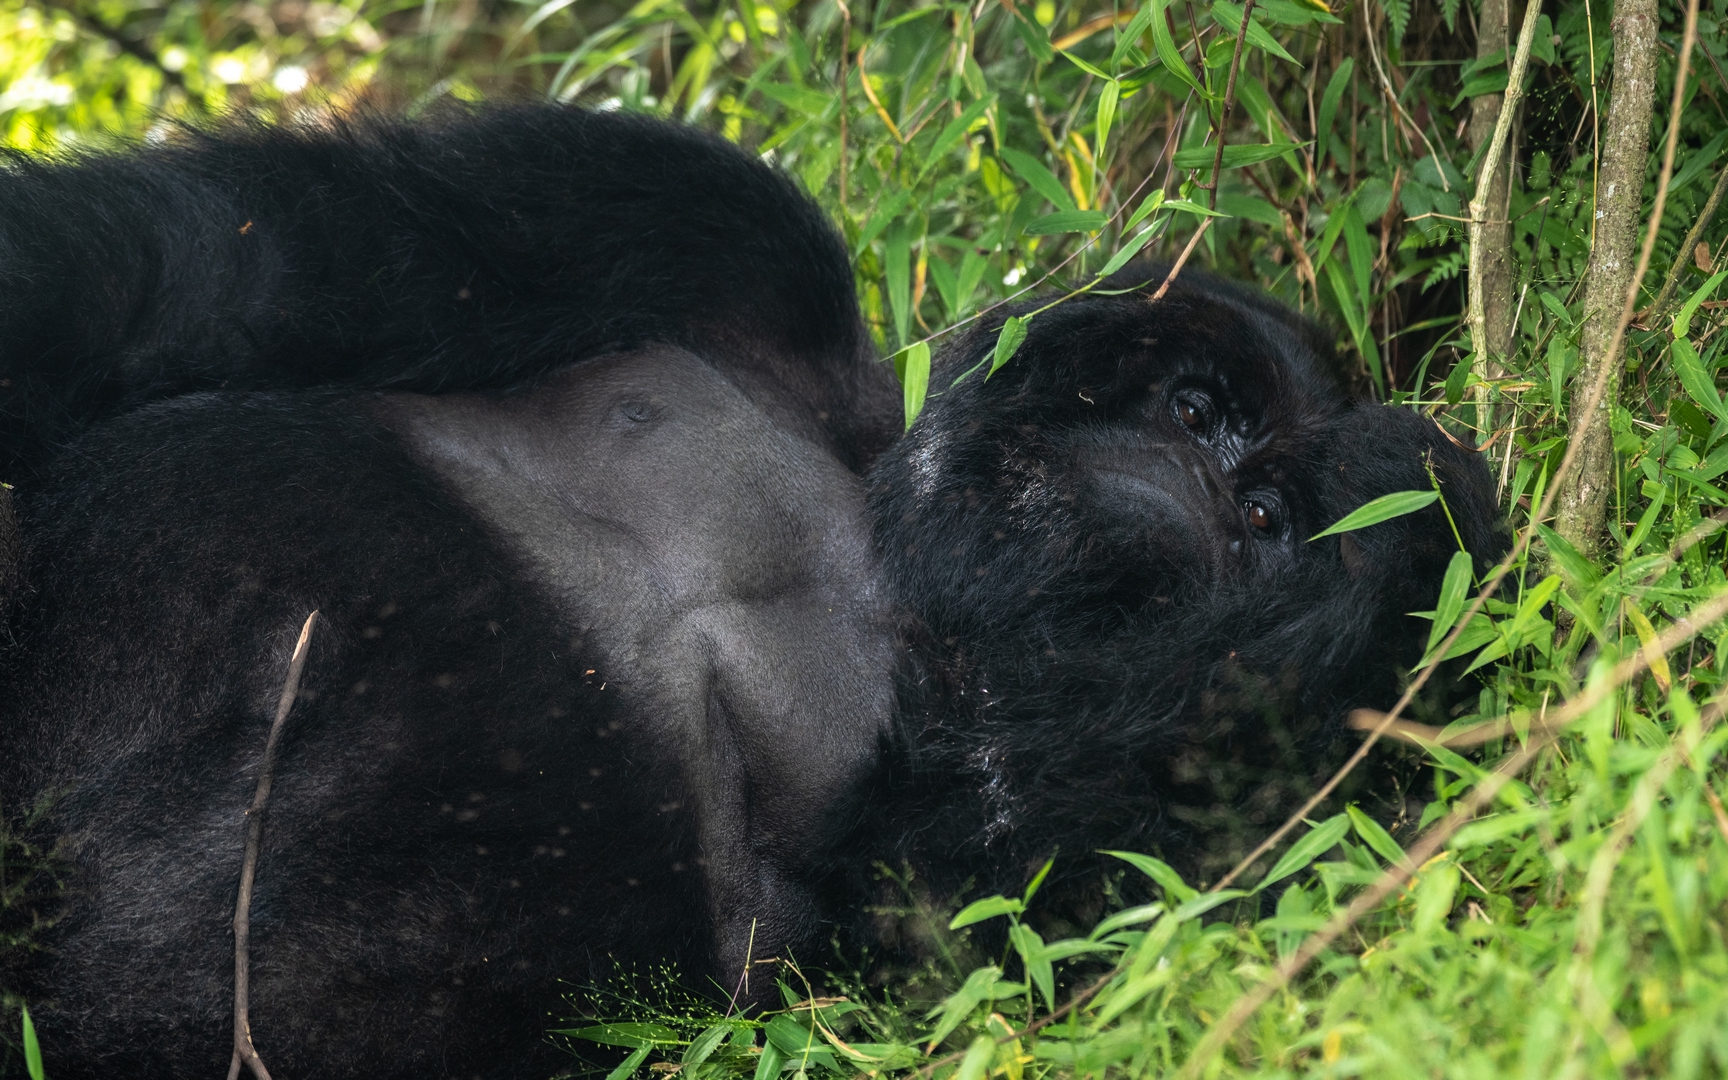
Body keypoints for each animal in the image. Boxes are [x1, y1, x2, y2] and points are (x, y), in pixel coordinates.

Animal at [0, 103, 1499, 1078]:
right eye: (1195, 411)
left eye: (1259, 519)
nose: (1179, 486)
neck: (873, 541)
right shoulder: (714, 228)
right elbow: (188, 272)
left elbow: (1003, 901)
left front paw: (1403, 510)